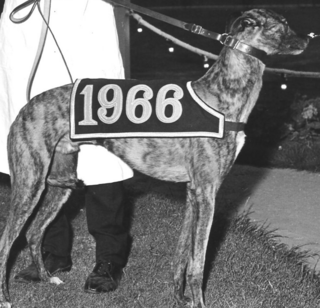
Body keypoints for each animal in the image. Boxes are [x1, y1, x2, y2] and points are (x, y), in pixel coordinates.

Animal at [0, 8, 308, 306]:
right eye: (281, 24)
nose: (307, 39)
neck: (221, 94)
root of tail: (26, 106)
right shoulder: (207, 194)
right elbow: (197, 265)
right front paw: (198, 302)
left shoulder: (193, 193)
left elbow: (181, 257)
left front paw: (180, 299)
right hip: (30, 183)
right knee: (6, 242)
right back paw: (6, 298)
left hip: (59, 185)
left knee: (33, 232)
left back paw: (47, 278)